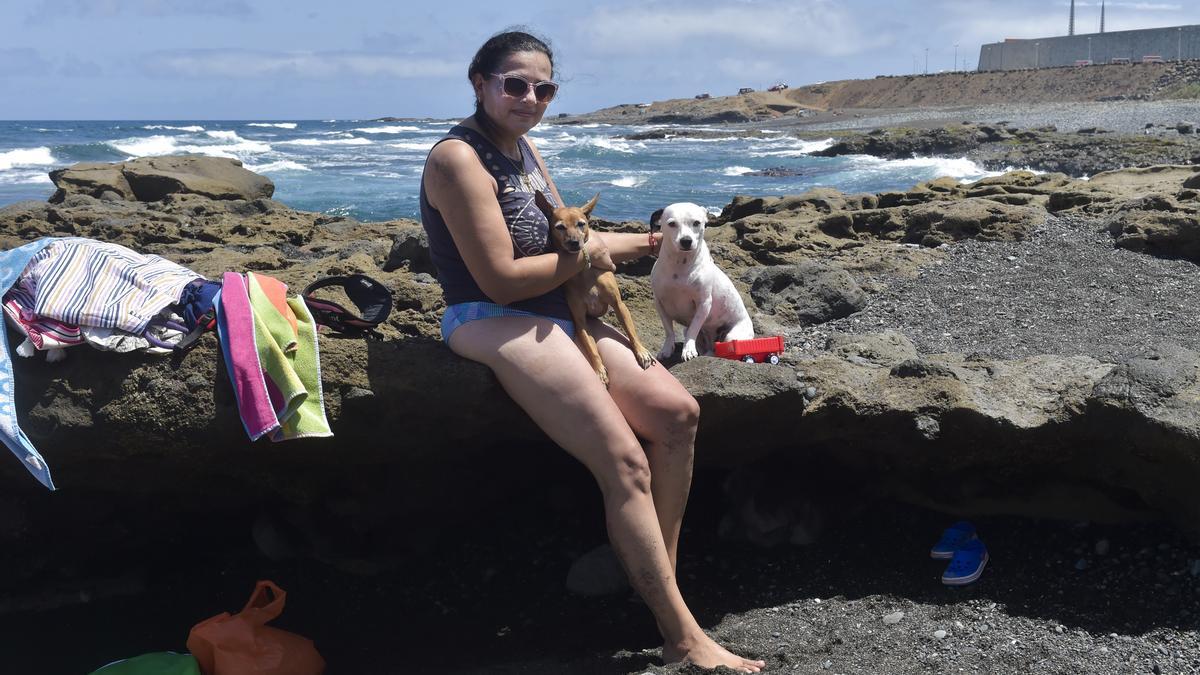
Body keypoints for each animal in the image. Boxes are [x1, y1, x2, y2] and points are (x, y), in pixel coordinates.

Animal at [537, 192, 657, 386]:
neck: (584, 273)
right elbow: (591, 348)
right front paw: (599, 370)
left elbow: (631, 331)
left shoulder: (619, 305)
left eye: (581, 224)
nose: (574, 242)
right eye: (560, 227)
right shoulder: (580, 321)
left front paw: (641, 351)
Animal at [652, 200, 753, 360]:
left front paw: (688, 350)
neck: (680, 265)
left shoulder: (703, 304)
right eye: (672, 223)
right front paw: (666, 348)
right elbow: (669, 331)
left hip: (732, 336)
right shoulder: (659, 303)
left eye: (696, 223)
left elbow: (693, 328)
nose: (686, 241)